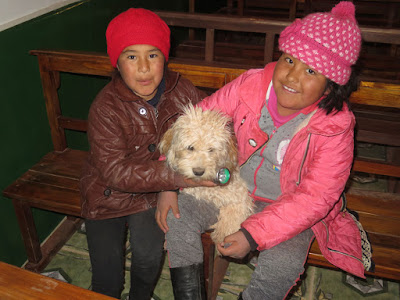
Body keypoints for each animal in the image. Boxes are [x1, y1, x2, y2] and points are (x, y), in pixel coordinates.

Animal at [159, 104, 253, 245]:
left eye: (211, 149)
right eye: (190, 147)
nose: (198, 172)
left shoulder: (239, 194)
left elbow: (233, 213)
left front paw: (223, 233)